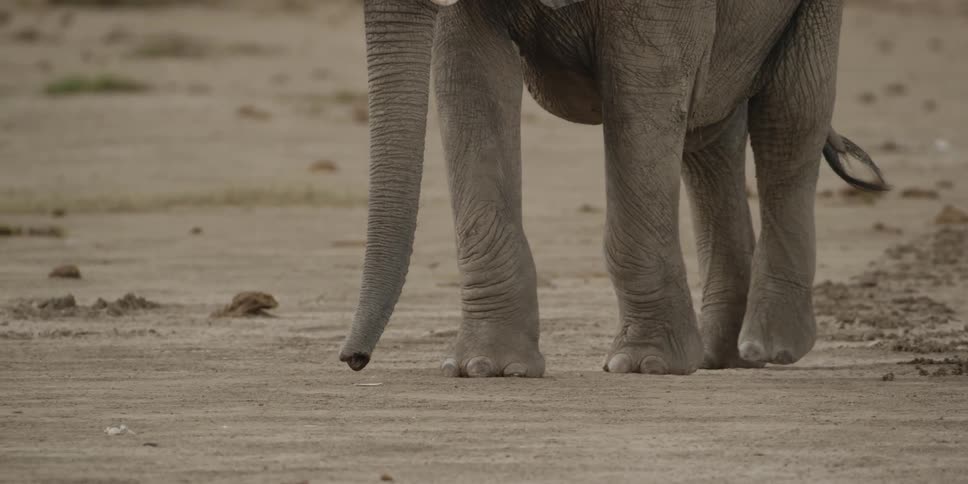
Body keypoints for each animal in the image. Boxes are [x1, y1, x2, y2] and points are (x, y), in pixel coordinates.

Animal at [339, 0, 888, 377]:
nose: (353, 359)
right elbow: (469, 78)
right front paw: (484, 369)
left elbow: (644, 87)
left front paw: (646, 365)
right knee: (708, 134)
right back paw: (719, 355)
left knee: (788, 119)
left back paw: (770, 347)